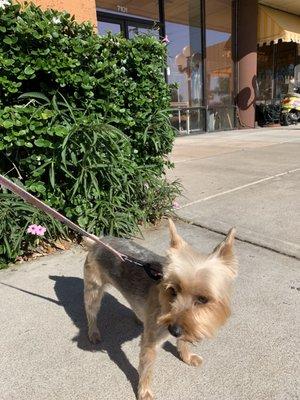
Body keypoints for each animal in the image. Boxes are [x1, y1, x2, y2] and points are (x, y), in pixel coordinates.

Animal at [83, 220, 238, 398]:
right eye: (172, 290)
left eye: (203, 299)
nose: (174, 330)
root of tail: (99, 240)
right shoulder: (151, 341)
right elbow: (147, 368)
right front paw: (144, 392)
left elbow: (183, 342)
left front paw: (186, 356)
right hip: (93, 289)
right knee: (91, 312)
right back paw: (93, 333)